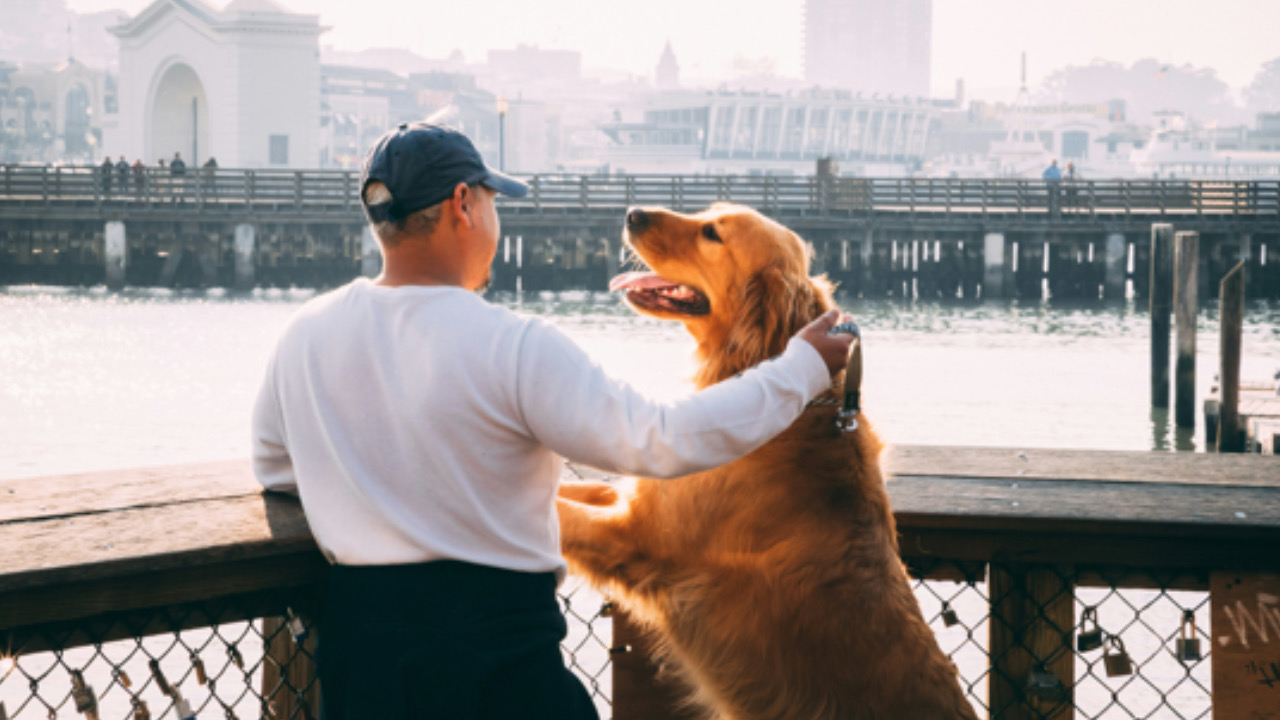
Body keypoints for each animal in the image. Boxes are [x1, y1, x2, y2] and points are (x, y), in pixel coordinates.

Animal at [555, 203, 972, 717]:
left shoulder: (634, 538)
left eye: (712, 233)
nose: (632, 213)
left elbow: (559, 514)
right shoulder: (635, 500)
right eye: (707, 212)